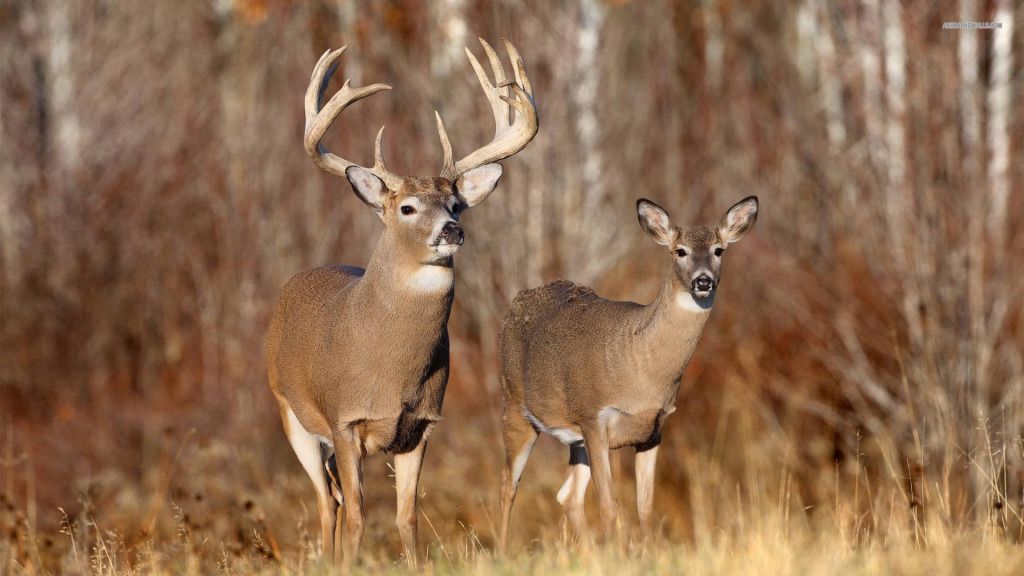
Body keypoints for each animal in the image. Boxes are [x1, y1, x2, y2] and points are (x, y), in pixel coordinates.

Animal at [266, 39, 537, 566]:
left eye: (456, 205)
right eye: (408, 208)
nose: (452, 231)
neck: (392, 372)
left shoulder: (422, 425)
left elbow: (406, 518)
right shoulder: (345, 419)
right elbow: (357, 517)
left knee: (331, 498)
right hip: (291, 414)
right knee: (326, 503)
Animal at [496, 196, 758, 550]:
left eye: (719, 250)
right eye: (680, 251)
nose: (703, 280)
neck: (641, 369)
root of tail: (516, 301)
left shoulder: (654, 430)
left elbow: (644, 506)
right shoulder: (594, 417)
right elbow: (609, 505)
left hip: (574, 438)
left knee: (568, 495)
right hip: (515, 405)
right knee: (508, 484)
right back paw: (501, 551)